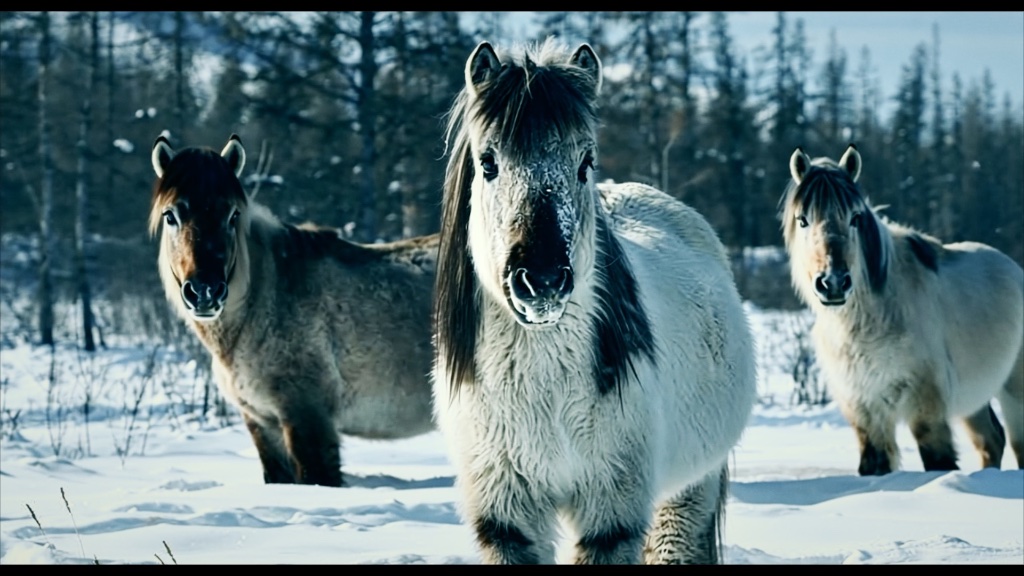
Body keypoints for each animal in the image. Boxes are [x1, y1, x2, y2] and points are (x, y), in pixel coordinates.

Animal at [149, 134, 439, 487]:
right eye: (170, 216)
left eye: (232, 215)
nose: (205, 291)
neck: (262, 306)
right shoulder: (262, 424)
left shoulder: (307, 420)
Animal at [431, 39, 758, 565]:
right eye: (488, 162)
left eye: (585, 161)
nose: (541, 280)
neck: (544, 389)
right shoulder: (507, 517)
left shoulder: (613, 512)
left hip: (688, 490)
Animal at [781, 144, 1024, 476]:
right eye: (803, 219)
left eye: (855, 217)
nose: (833, 283)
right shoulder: (865, 412)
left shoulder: (926, 410)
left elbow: (939, 462)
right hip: (975, 399)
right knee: (991, 441)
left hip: (1014, 392)